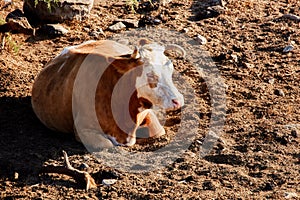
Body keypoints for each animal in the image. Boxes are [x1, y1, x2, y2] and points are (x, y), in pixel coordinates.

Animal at [31, 39, 185, 149]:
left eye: (171, 69)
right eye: (150, 75)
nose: (178, 100)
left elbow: (158, 131)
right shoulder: (82, 129)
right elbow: (107, 144)